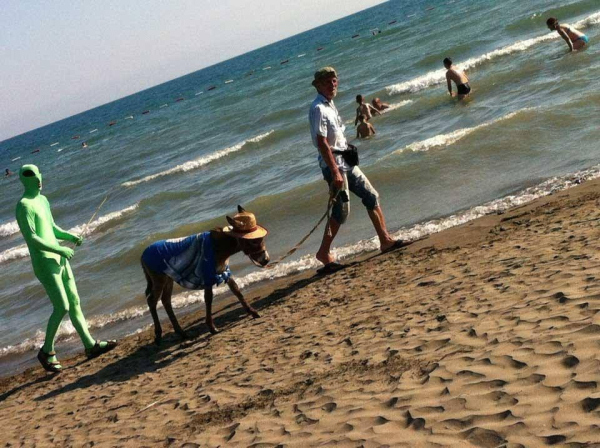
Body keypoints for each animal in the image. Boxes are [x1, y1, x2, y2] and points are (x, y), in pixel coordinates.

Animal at [141, 205, 268, 344]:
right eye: (253, 241)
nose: (266, 260)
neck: (218, 247)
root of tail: (143, 254)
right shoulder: (208, 276)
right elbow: (208, 299)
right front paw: (212, 328)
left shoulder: (224, 271)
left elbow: (237, 291)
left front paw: (253, 312)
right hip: (159, 279)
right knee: (152, 300)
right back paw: (158, 336)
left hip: (168, 279)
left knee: (165, 301)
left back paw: (182, 333)